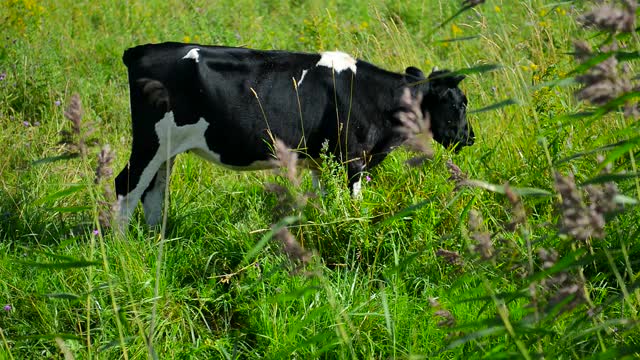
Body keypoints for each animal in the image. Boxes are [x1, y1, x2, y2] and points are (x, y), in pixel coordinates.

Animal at [116, 43, 476, 228]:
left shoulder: (320, 161)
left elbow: (322, 203)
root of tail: (140, 50)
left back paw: (157, 241)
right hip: (150, 141)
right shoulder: (351, 160)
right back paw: (122, 245)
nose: (470, 138)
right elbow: (353, 205)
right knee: (127, 186)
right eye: (459, 103)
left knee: (154, 193)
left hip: (167, 149)